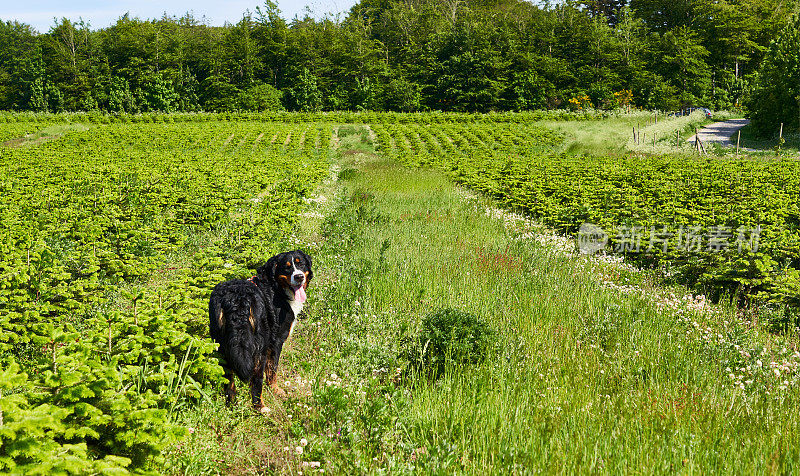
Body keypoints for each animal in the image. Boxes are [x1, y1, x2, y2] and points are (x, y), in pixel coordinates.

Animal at [209, 251, 312, 410]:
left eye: (301, 264)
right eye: (287, 267)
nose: (299, 276)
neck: (276, 287)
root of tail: (236, 300)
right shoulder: (276, 342)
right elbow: (272, 369)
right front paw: (276, 390)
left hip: (222, 345)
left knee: (229, 381)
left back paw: (232, 406)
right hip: (259, 348)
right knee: (256, 381)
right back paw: (260, 407)